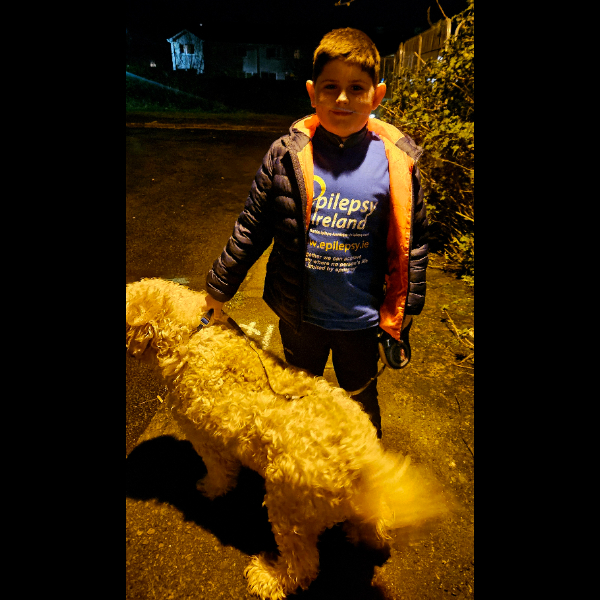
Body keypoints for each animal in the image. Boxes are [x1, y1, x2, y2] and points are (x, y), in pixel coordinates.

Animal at [126, 278, 448, 600]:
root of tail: (360, 458)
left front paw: (211, 488)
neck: (192, 333)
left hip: (288, 508)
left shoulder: (205, 439)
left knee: (301, 565)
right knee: (375, 515)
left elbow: (219, 472)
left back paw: (269, 577)